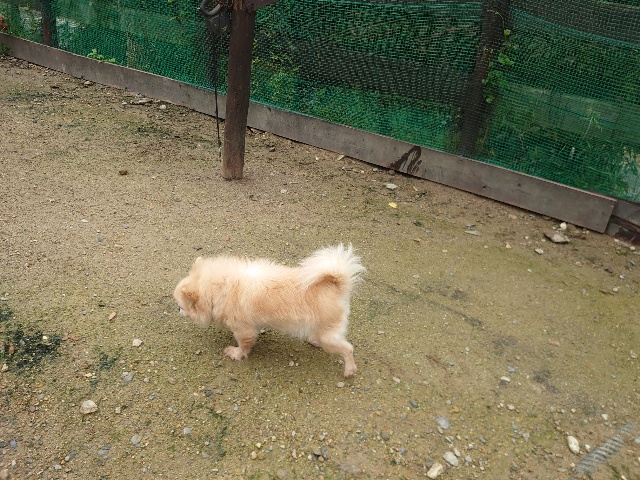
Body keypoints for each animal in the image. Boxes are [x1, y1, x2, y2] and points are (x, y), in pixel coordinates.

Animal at [173, 244, 365, 377]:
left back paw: (350, 370)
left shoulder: (244, 329)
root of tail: (338, 284)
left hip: (329, 337)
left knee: (348, 348)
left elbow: (243, 345)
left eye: (181, 306)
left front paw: (236, 354)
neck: (219, 287)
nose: (177, 310)